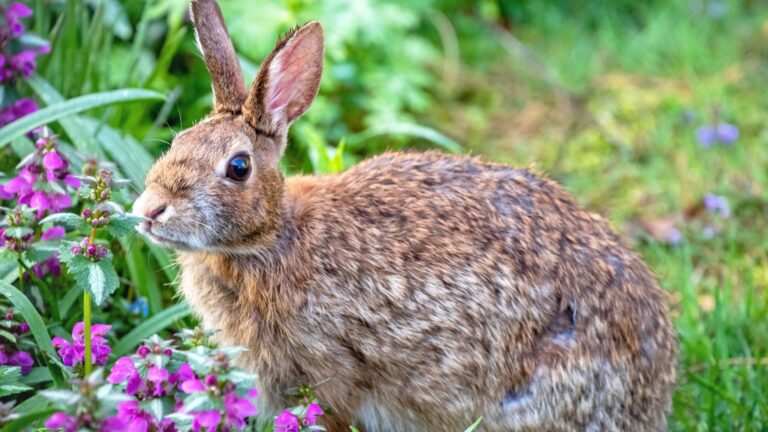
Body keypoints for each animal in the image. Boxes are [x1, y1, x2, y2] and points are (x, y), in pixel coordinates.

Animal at [133, 0, 678, 430]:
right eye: (179, 142)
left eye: (238, 167)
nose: (149, 210)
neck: (270, 240)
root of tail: (654, 388)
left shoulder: (328, 372)